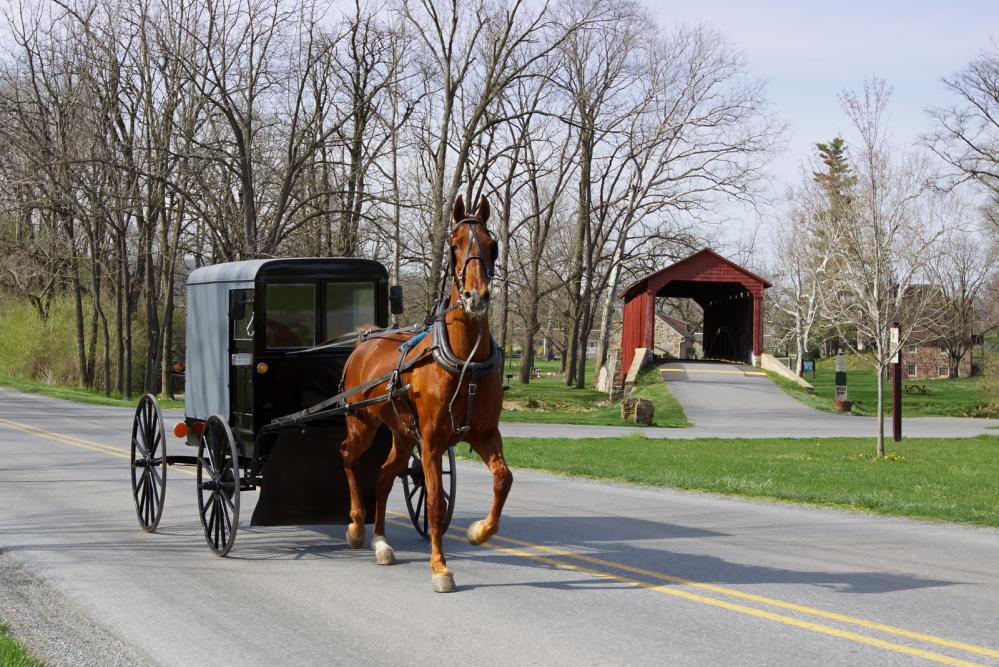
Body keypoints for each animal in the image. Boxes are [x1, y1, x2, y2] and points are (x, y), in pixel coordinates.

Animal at [338, 194, 512, 596]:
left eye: (492, 245)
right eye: (454, 245)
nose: (476, 297)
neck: (464, 359)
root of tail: (366, 338)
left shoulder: (484, 434)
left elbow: (503, 479)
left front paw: (480, 531)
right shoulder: (431, 441)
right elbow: (434, 503)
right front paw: (440, 567)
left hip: (402, 435)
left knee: (383, 477)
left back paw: (381, 542)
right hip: (362, 423)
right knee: (349, 457)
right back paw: (356, 525)